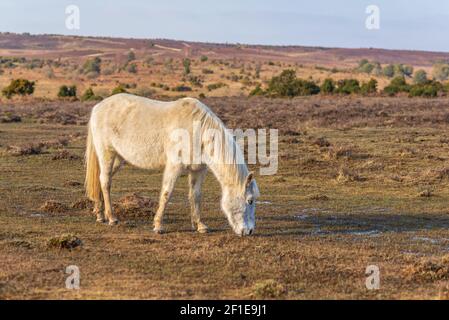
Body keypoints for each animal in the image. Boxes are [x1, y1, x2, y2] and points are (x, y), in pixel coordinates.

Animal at [85, 94, 260, 236]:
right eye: (250, 200)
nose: (249, 231)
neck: (197, 131)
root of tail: (98, 107)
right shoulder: (174, 167)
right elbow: (166, 194)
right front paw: (158, 226)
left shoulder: (198, 170)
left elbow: (195, 196)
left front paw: (199, 225)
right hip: (107, 154)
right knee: (105, 182)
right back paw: (112, 218)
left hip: (119, 159)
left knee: (101, 180)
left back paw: (99, 214)